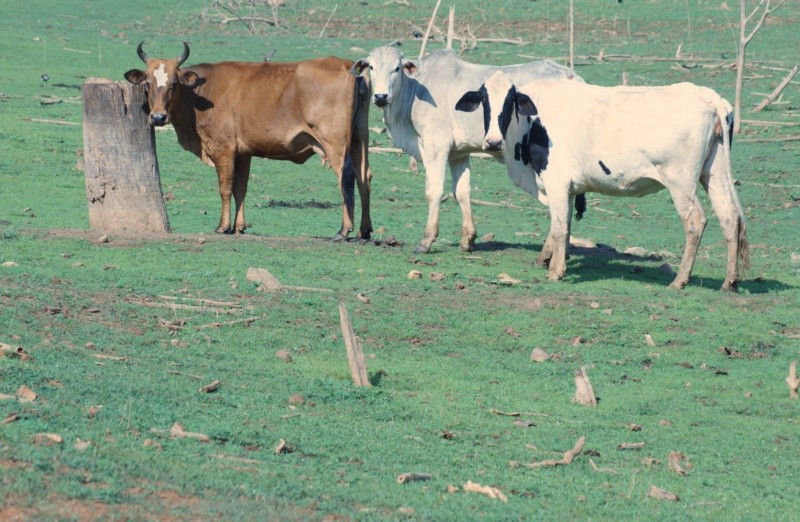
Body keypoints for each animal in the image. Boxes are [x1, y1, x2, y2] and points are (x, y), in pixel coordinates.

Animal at [123, 42, 374, 238]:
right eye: (147, 83)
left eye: (174, 84)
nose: (157, 117)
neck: (201, 92)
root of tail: (347, 66)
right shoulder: (243, 154)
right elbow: (240, 189)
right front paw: (239, 227)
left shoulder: (223, 150)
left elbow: (225, 188)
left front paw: (223, 226)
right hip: (359, 138)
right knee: (364, 177)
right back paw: (365, 230)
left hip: (336, 145)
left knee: (345, 179)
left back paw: (344, 230)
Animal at [352, 45, 580, 253]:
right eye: (372, 67)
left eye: (397, 68)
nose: (381, 96)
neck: (416, 90)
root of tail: (571, 76)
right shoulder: (458, 154)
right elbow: (461, 192)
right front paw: (467, 239)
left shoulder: (435, 146)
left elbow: (434, 191)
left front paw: (426, 240)